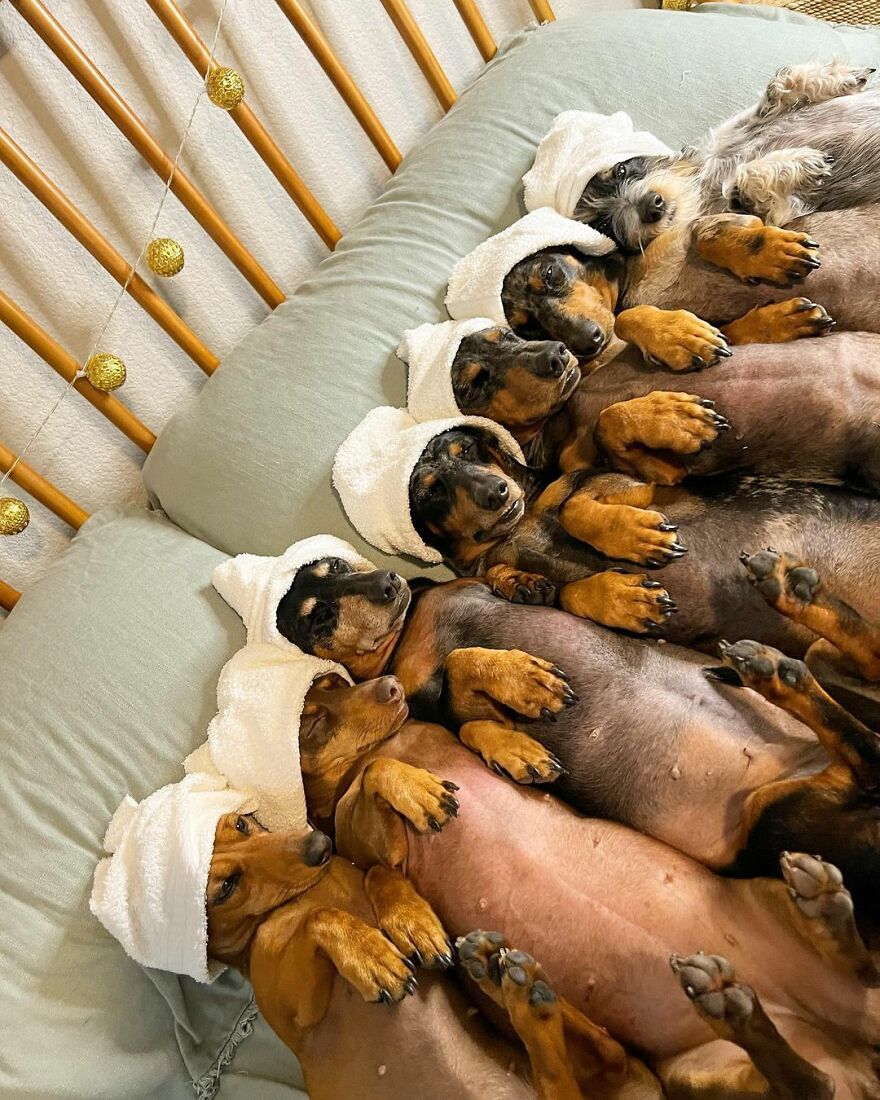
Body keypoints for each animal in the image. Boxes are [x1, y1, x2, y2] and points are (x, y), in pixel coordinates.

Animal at [275, 551, 880, 926]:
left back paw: (787, 598)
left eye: (339, 566)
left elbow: (545, 588)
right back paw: (774, 664)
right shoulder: (435, 702)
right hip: (773, 822)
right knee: (865, 759)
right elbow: (464, 676)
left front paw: (611, 596)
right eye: (320, 615)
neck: (411, 625)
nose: (389, 582)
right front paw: (522, 702)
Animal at [449, 327, 880, 490]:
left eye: (508, 334)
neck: (567, 410)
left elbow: (630, 315)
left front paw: (680, 334)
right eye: (476, 382)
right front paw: (680, 419)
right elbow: (607, 420)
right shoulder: (666, 473)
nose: (557, 353)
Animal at [574, 61, 880, 248]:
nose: (653, 206)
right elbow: (747, 180)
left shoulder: (738, 129)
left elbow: (780, 85)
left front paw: (845, 77)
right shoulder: (775, 212)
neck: (705, 184)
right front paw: (802, 162)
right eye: (602, 224)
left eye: (621, 170)